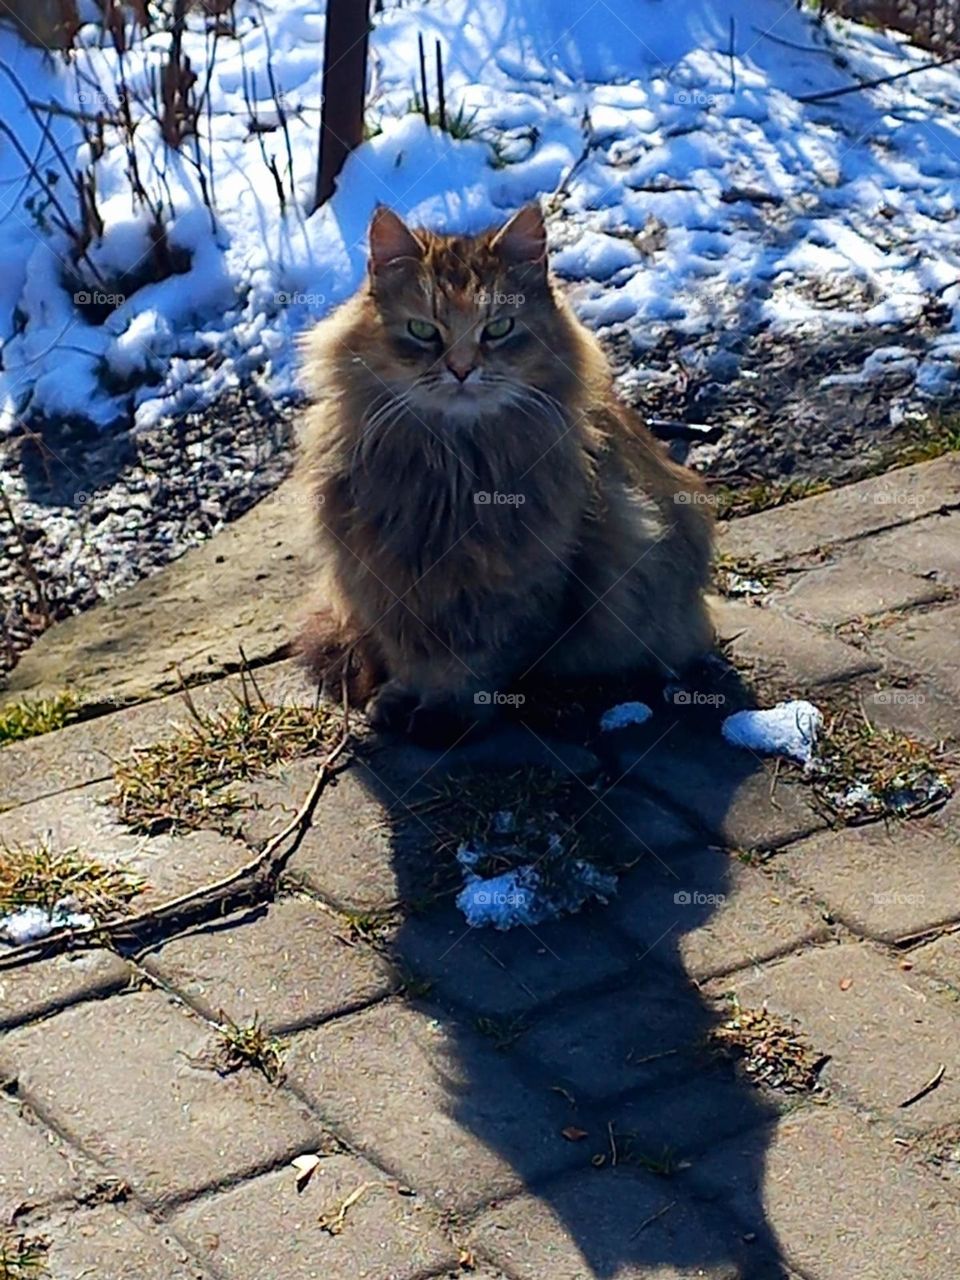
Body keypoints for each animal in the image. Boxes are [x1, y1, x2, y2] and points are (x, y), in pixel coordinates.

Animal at [299, 202, 716, 747]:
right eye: (423, 332)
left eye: (497, 329)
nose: (461, 369)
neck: (451, 467)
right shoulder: (385, 584)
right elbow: (407, 658)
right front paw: (398, 700)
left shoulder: (515, 588)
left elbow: (473, 665)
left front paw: (447, 715)